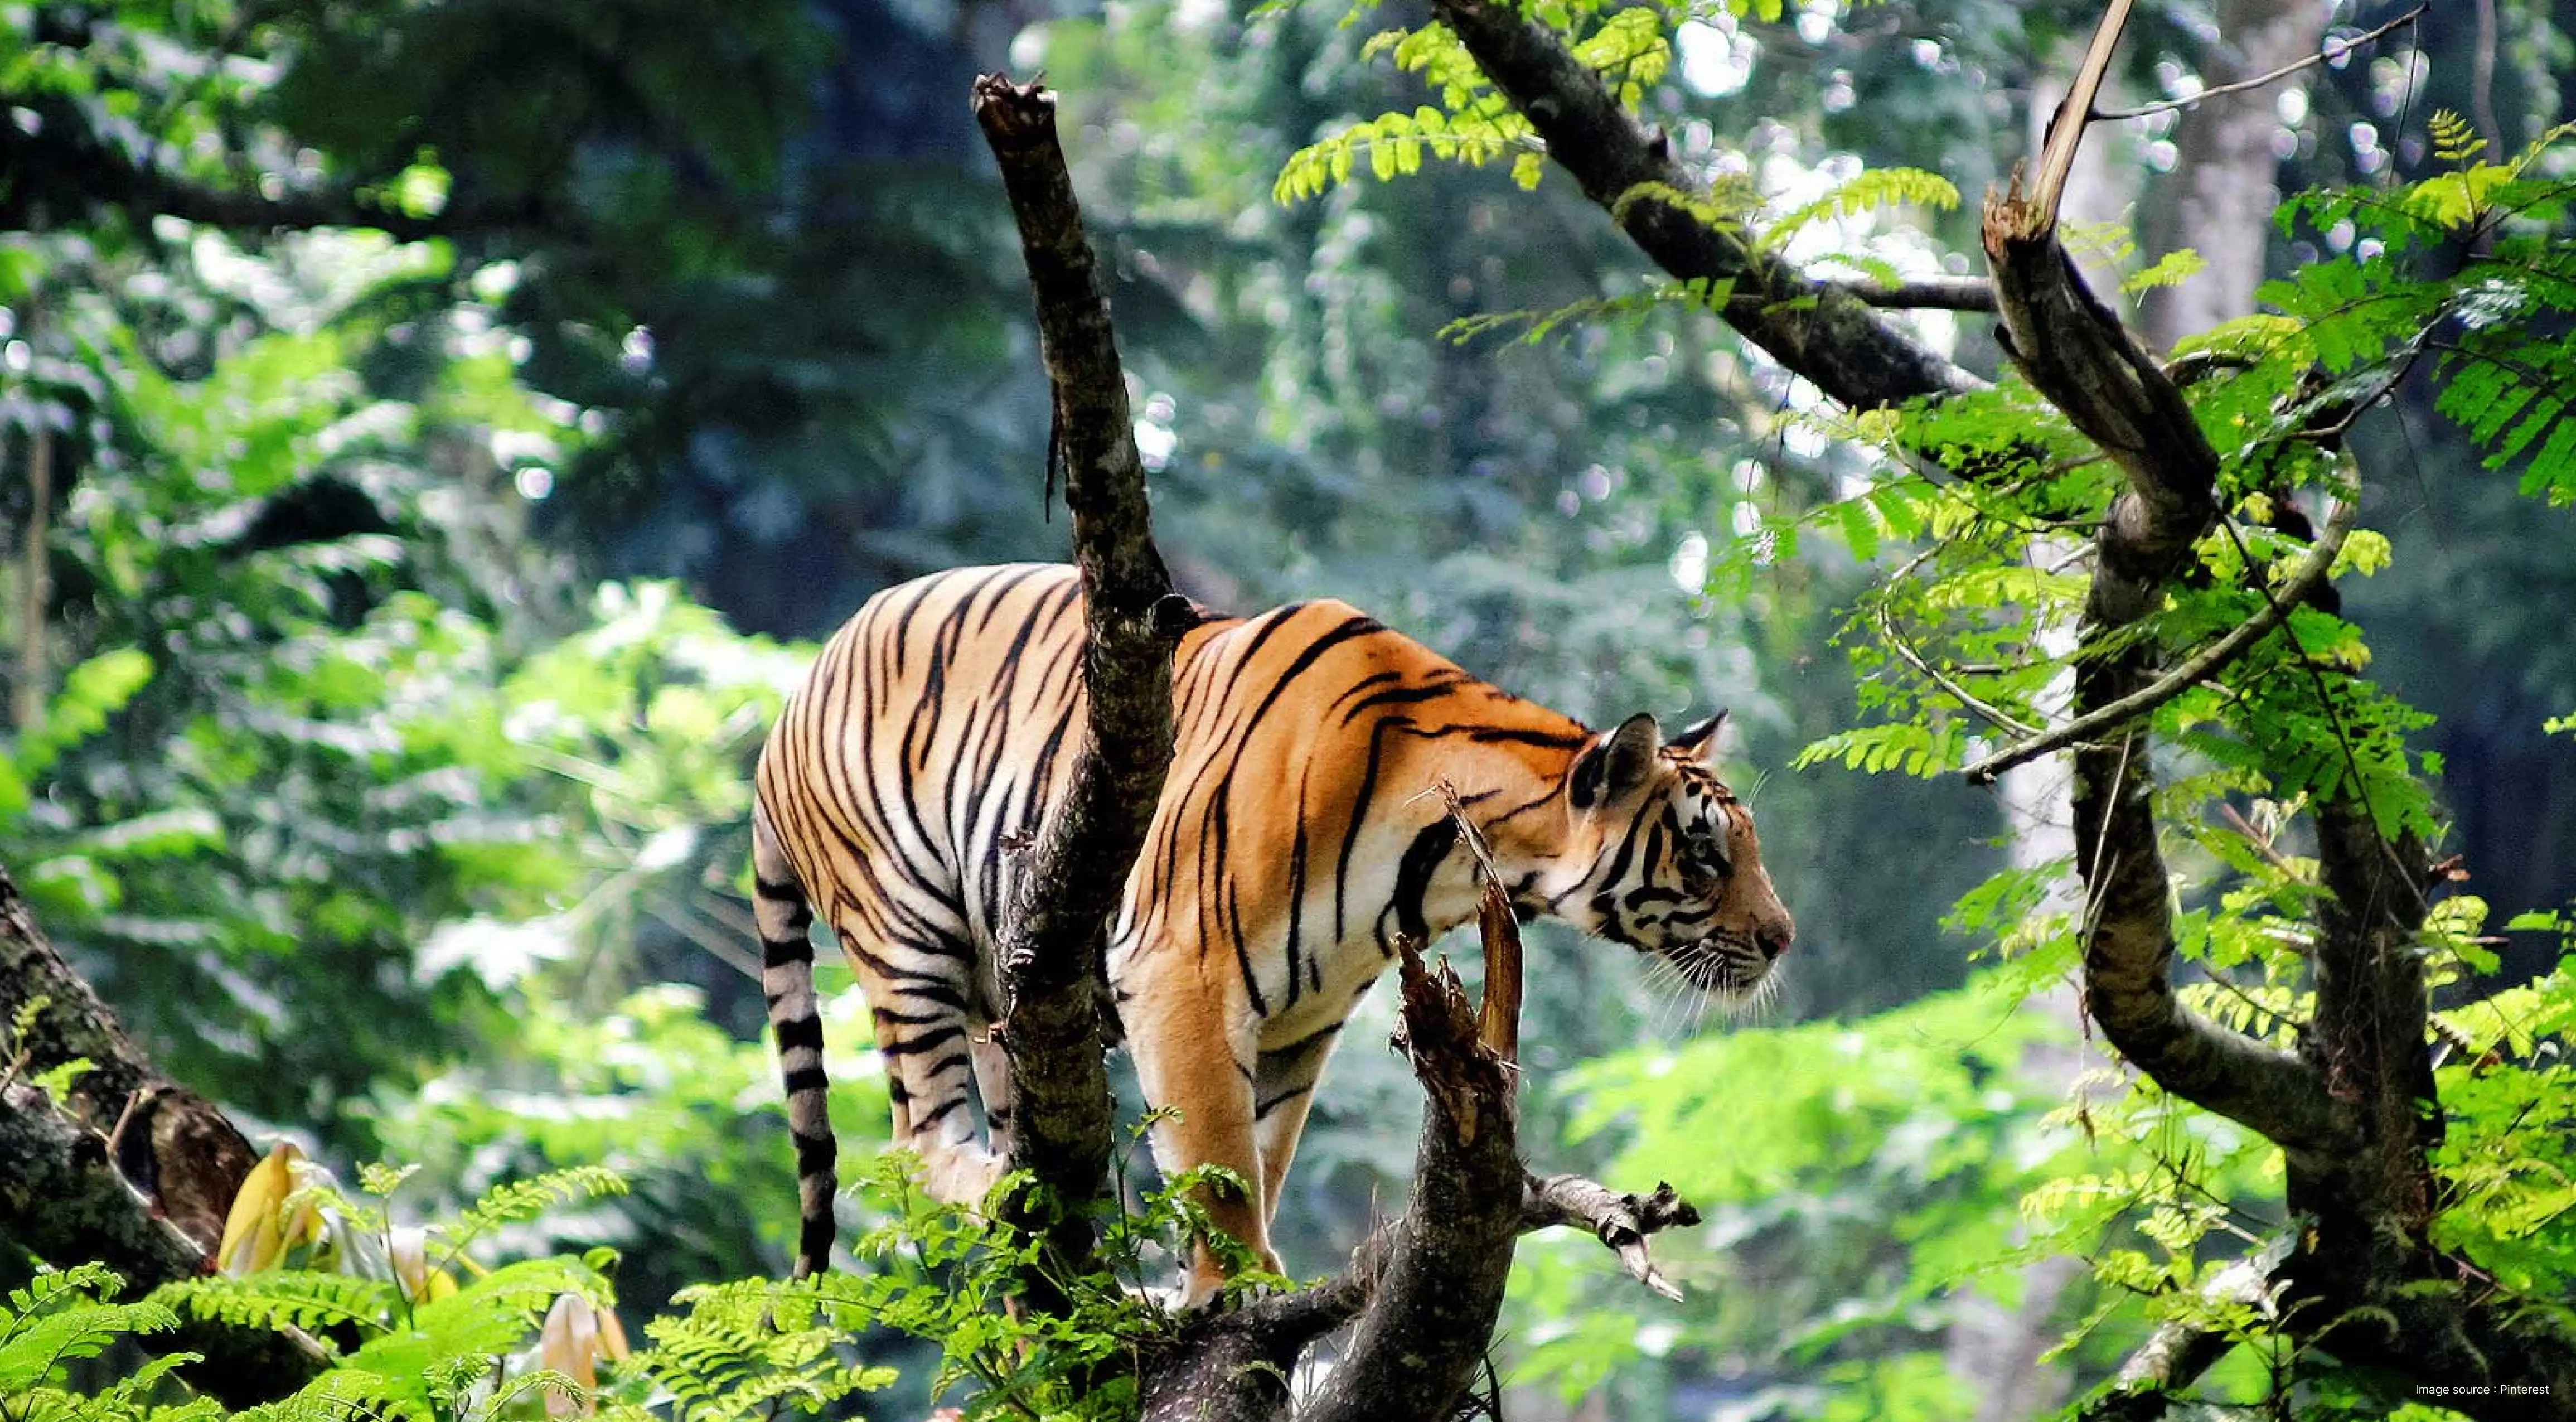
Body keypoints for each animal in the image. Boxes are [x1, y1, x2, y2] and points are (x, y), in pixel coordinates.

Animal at [752, 562, 1795, 1301]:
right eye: (1706, 854)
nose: (1783, 938)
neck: (1448, 865)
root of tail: (788, 702)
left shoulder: (1303, 1018)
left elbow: (1263, 1151)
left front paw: (1213, 1285)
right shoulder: (1184, 971)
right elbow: (1217, 1158)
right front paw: (1233, 1289)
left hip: (999, 1000)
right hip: (906, 936)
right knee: (914, 1141)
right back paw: (1010, 1196)